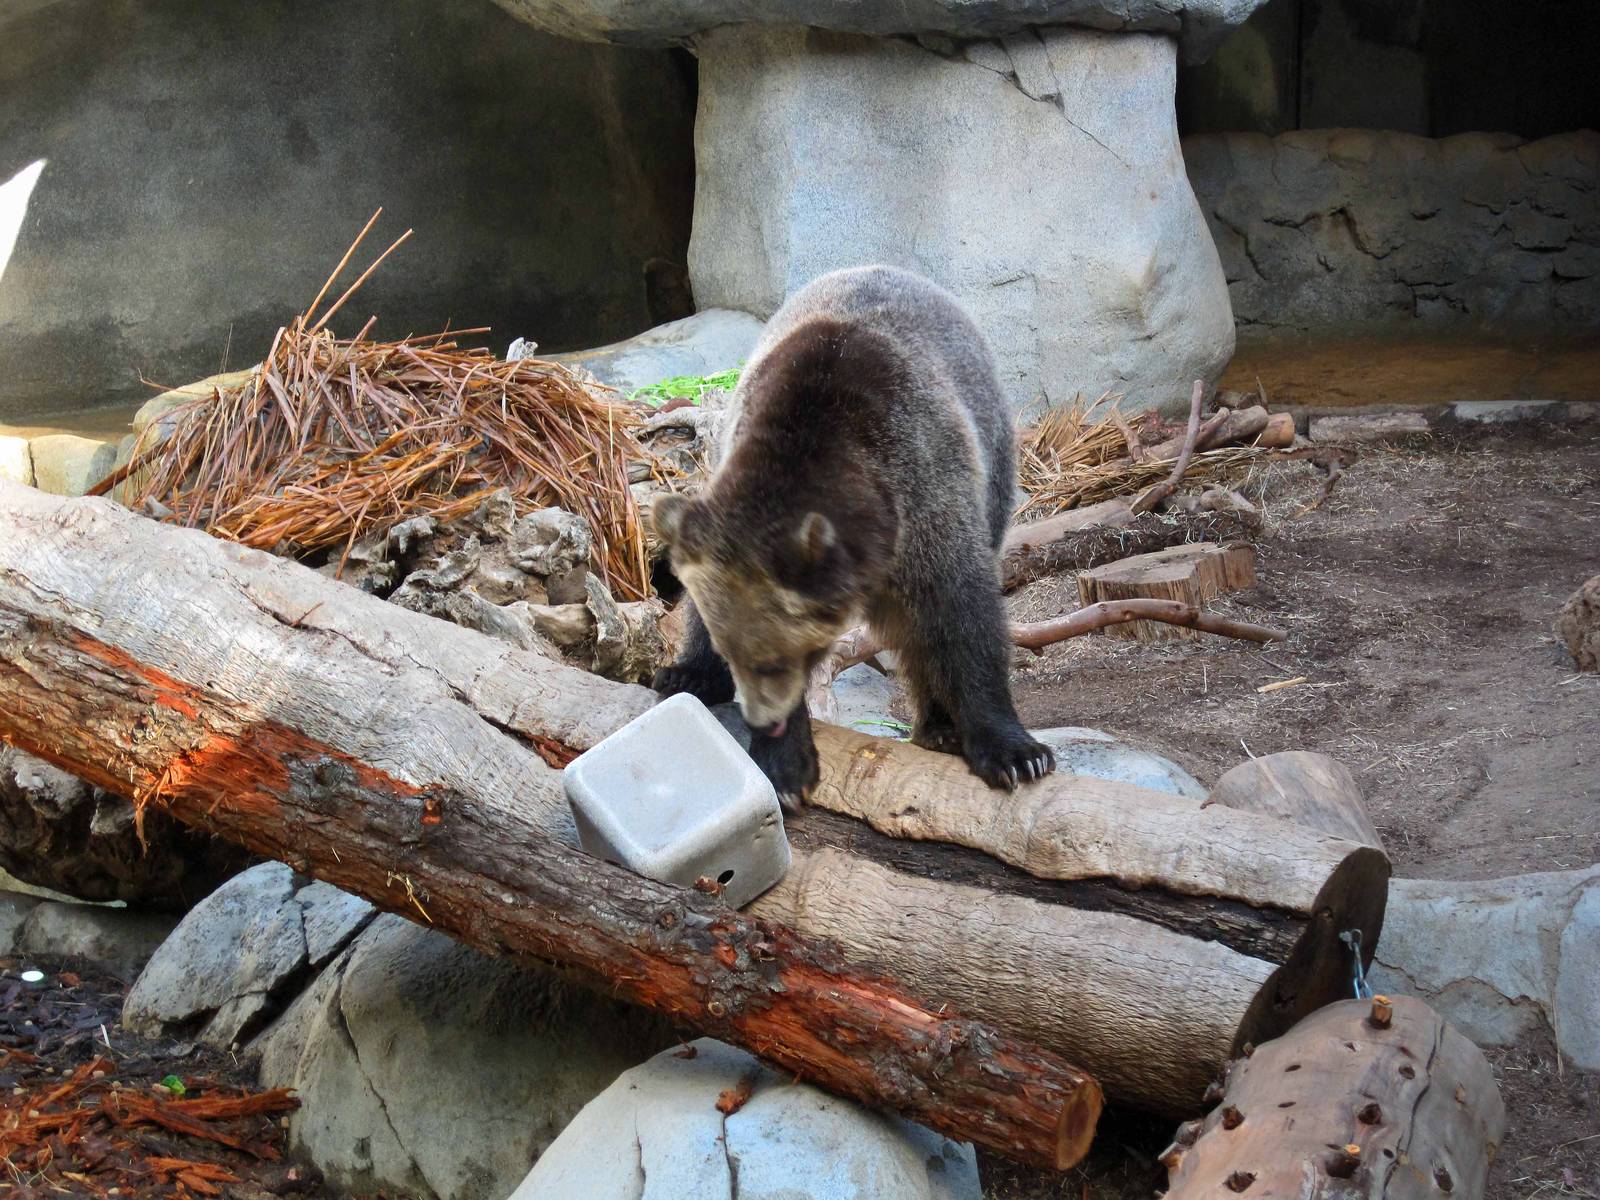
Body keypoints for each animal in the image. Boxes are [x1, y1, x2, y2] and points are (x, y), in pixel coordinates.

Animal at [650, 265, 1054, 806]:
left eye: (771, 660)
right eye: (740, 656)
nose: (764, 718)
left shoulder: (923, 490)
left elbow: (962, 614)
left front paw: (1015, 753)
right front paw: (786, 767)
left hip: (990, 452)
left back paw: (941, 725)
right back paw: (686, 673)